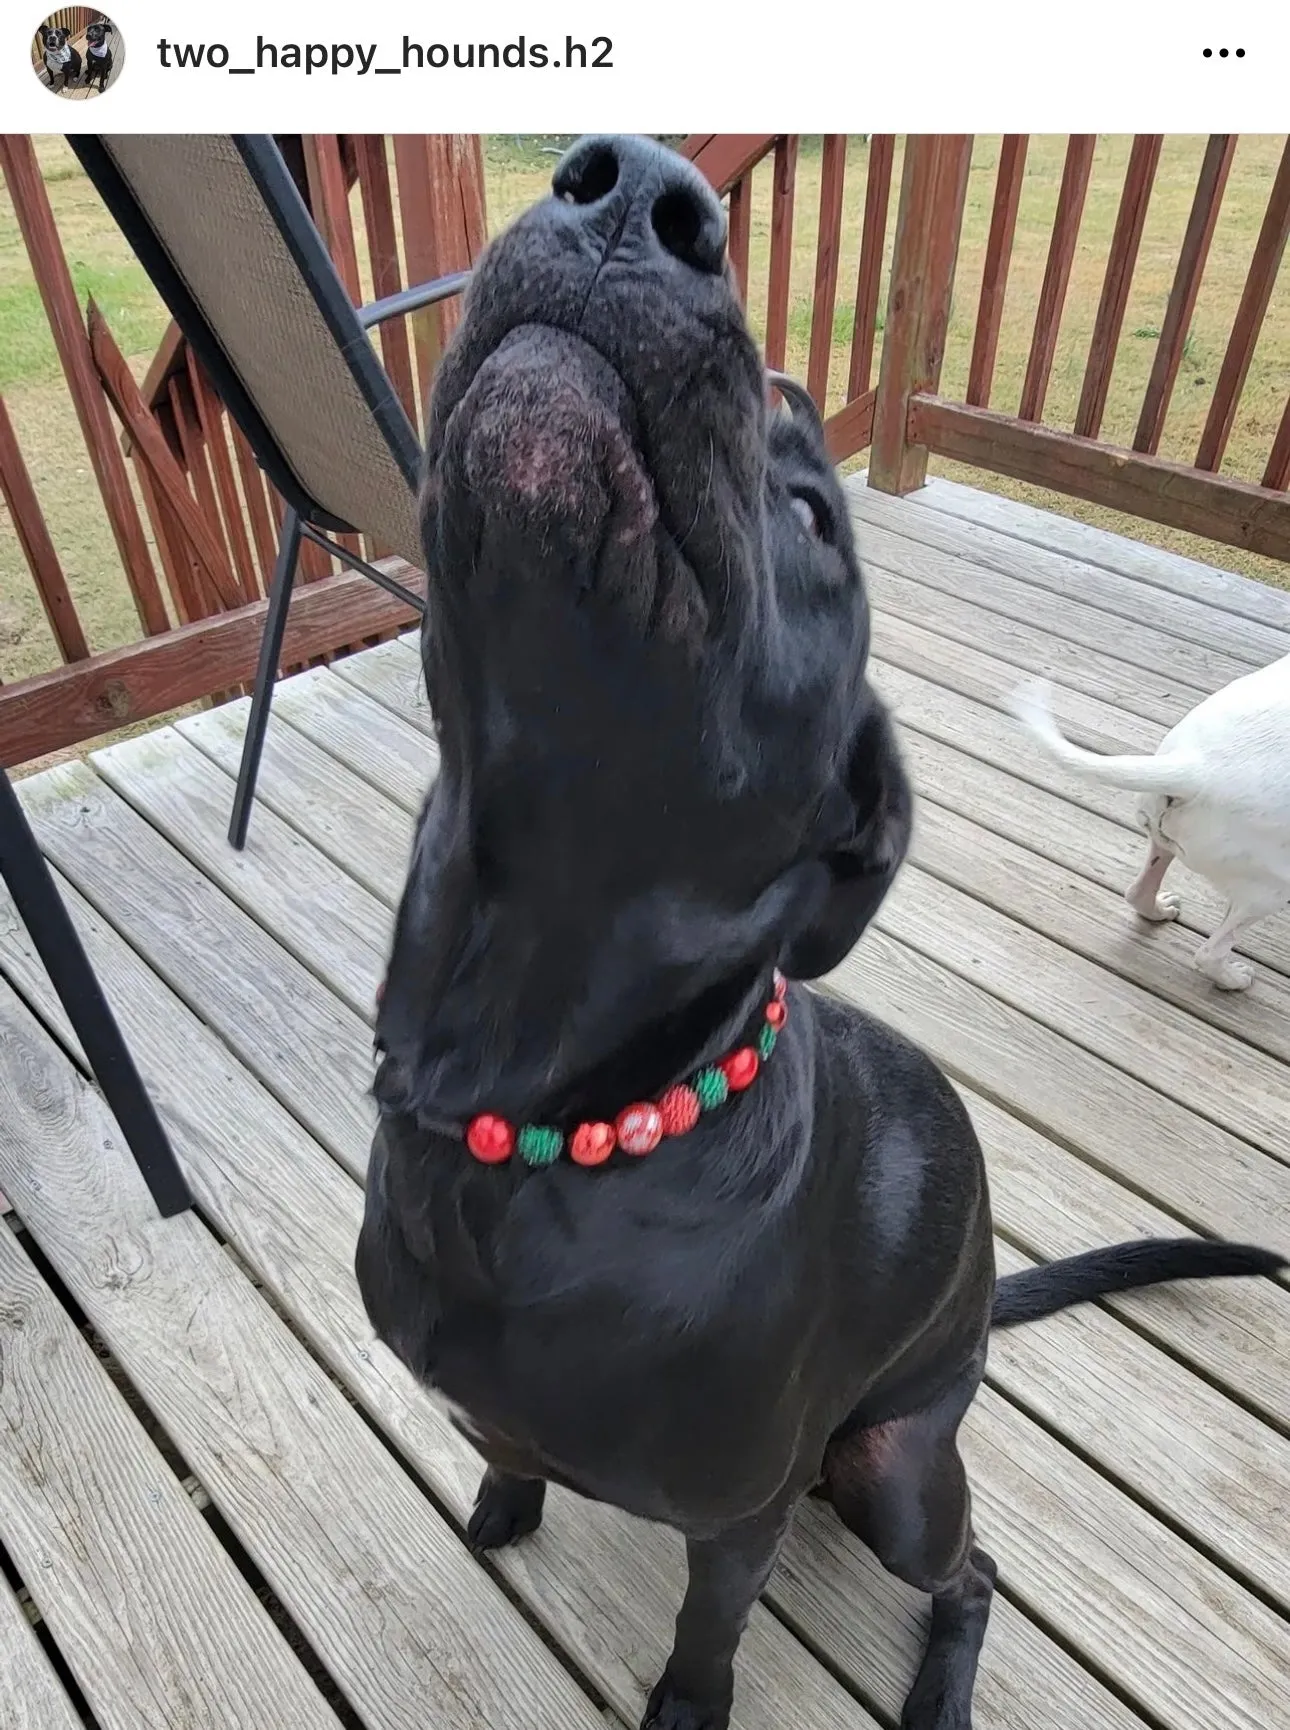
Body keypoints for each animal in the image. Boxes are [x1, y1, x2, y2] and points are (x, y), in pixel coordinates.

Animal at [1002, 653, 1286, 996]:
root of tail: (1196, 766)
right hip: (1269, 889)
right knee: (1209, 952)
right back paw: (1233, 979)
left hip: (1167, 842)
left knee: (1138, 892)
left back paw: (1158, 909)